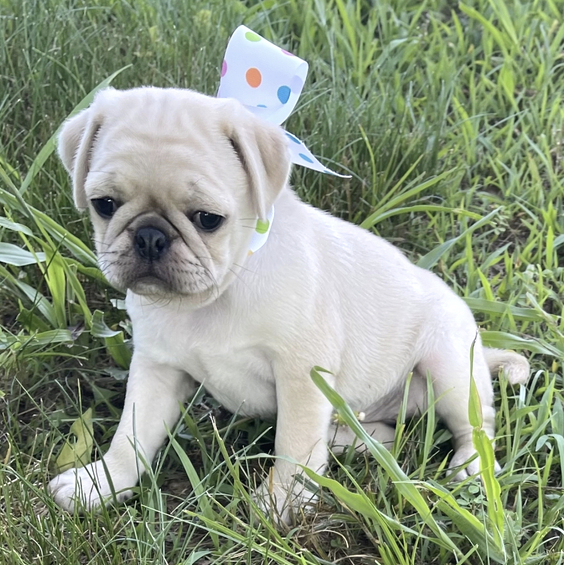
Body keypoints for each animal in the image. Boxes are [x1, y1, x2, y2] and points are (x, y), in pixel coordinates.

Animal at [49, 86, 530, 523]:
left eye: (207, 219)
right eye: (104, 205)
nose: (149, 237)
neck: (214, 296)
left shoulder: (302, 375)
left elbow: (294, 444)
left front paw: (283, 503)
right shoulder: (156, 369)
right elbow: (131, 434)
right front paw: (101, 483)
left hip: (449, 368)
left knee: (478, 424)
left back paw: (470, 468)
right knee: (382, 434)